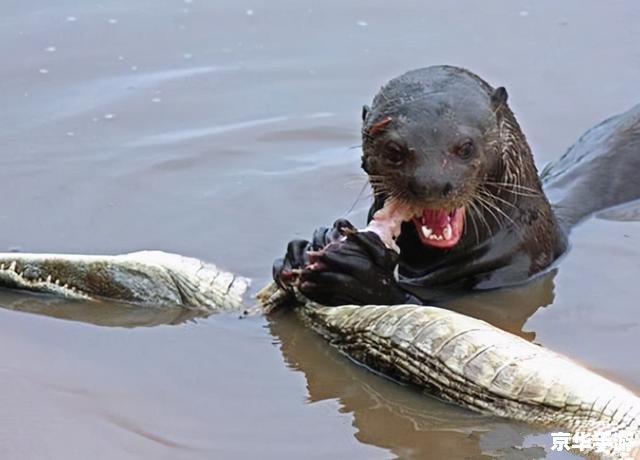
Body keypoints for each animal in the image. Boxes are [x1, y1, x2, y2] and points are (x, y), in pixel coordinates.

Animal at [272, 64, 640, 306]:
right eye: (393, 150)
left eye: (465, 146)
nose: (431, 184)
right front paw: (303, 248)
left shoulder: (515, 271)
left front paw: (360, 276)